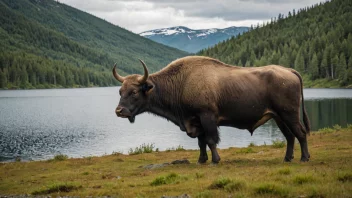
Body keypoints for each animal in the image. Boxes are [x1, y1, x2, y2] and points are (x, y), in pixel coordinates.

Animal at [113, 56, 310, 164]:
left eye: (134, 92)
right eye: (120, 91)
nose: (119, 111)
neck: (182, 82)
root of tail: (290, 71)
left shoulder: (207, 118)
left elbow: (211, 140)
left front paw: (215, 160)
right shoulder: (196, 121)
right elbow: (201, 143)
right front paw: (201, 160)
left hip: (289, 115)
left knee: (300, 133)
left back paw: (304, 158)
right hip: (278, 117)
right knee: (290, 136)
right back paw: (287, 158)